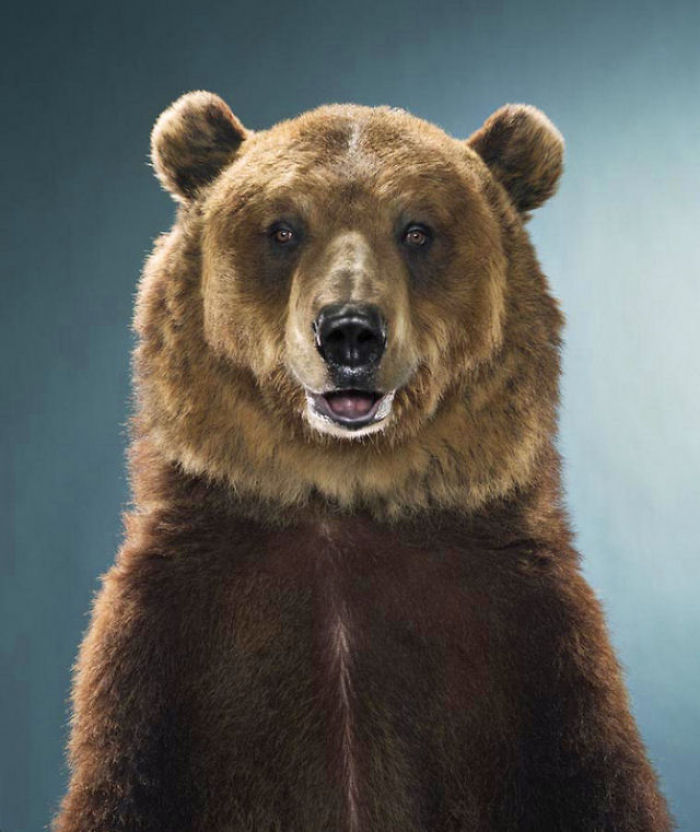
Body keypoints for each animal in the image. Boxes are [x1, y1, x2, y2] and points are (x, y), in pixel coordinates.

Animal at [53, 91, 673, 832]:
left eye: (417, 230)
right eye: (283, 229)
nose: (350, 333)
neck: (341, 496)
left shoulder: (538, 659)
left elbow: (597, 782)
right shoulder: (166, 664)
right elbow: (126, 782)